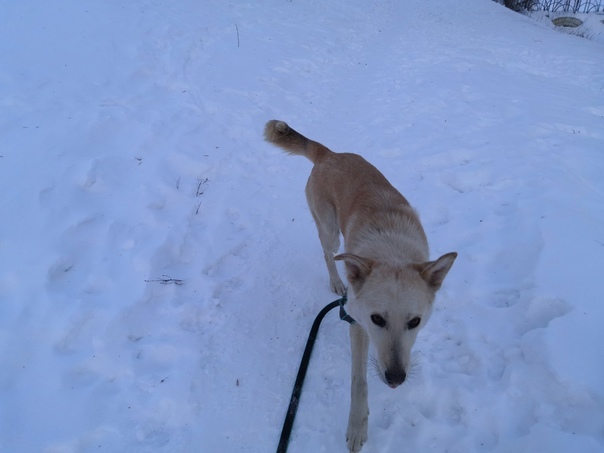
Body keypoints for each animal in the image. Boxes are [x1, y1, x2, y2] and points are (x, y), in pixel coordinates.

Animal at [264, 120, 458, 452]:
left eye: (415, 322)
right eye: (377, 319)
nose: (396, 379)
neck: (391, 252)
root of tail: (329, 154)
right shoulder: (356, 322)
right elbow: (359, 382)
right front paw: (357, 427)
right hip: (330, 231)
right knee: (328, 253)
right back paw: (335, 280)